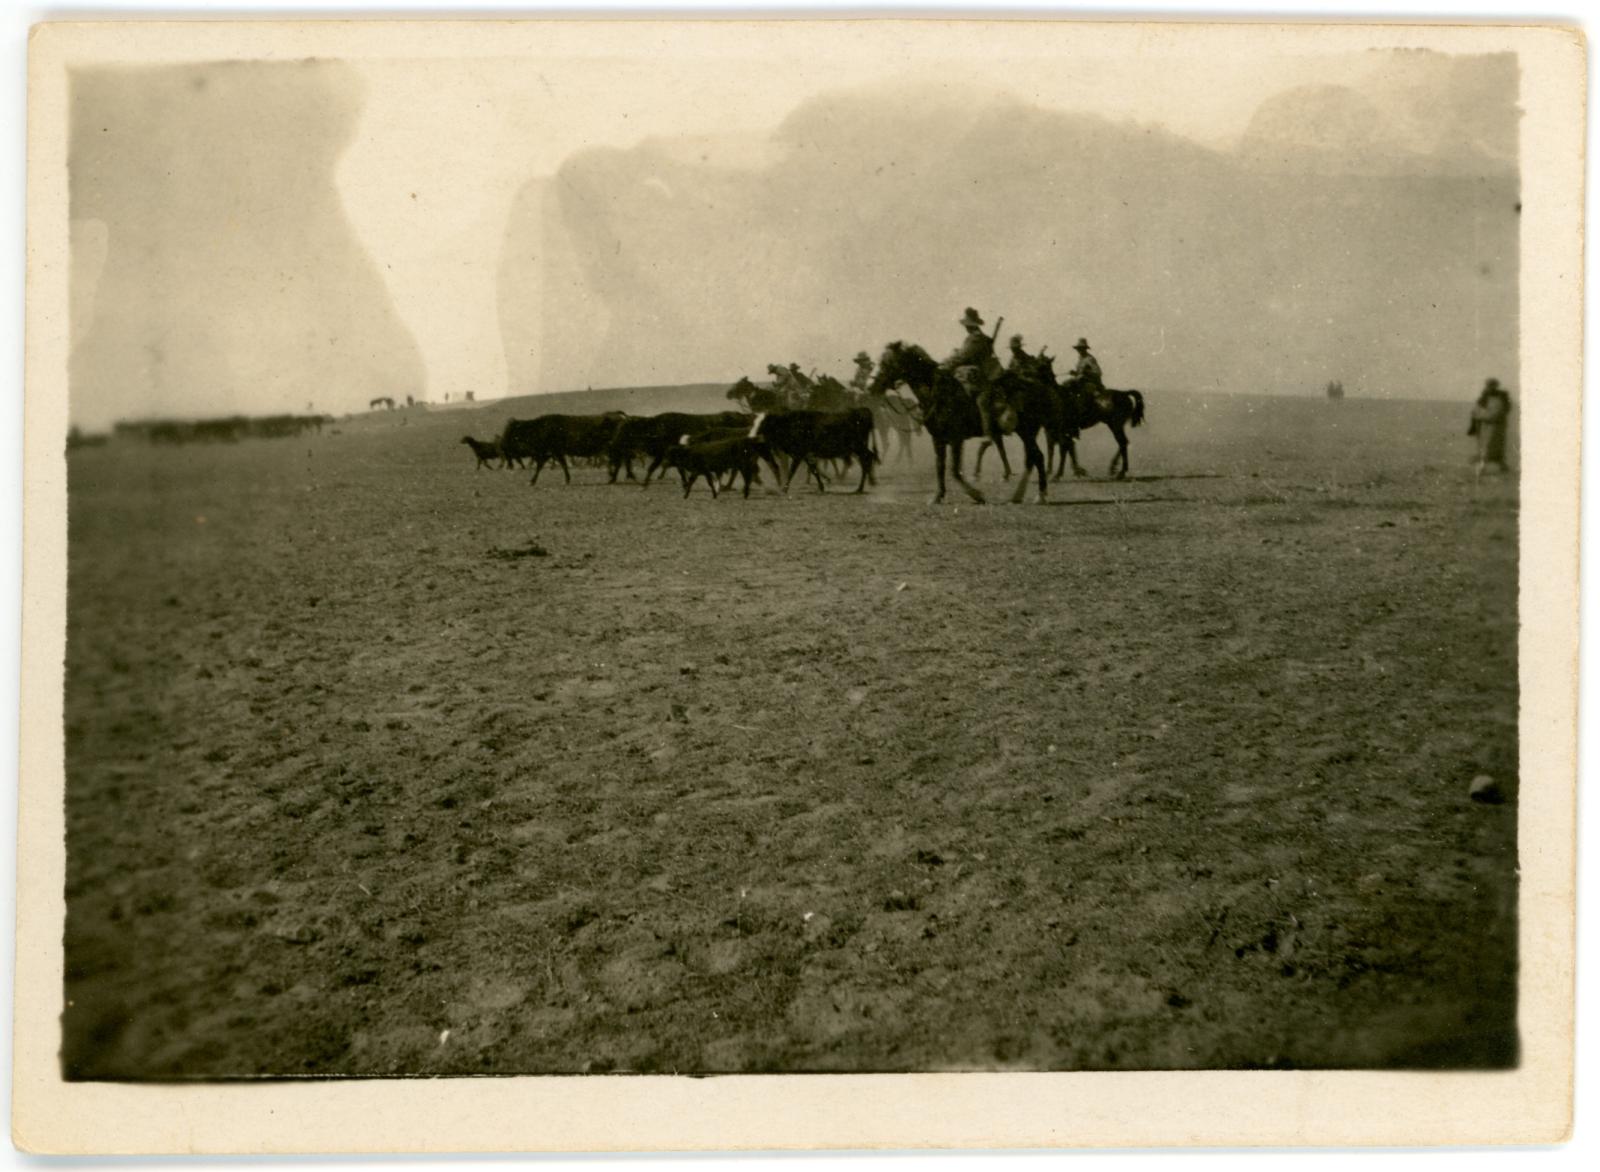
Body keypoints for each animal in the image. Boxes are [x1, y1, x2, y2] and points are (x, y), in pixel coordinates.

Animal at [500, 413, 628, 485]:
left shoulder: (551, 452)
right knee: (617, 463)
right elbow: (561, 464)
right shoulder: (553, 452)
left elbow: (542, 465)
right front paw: (567, 479)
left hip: (613, 449)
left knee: (617, 463)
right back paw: (612, 479)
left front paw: (532, 481)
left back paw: (612, 479)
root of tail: (621, 418)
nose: (503, 445)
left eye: (510, 432)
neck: (540, 427)